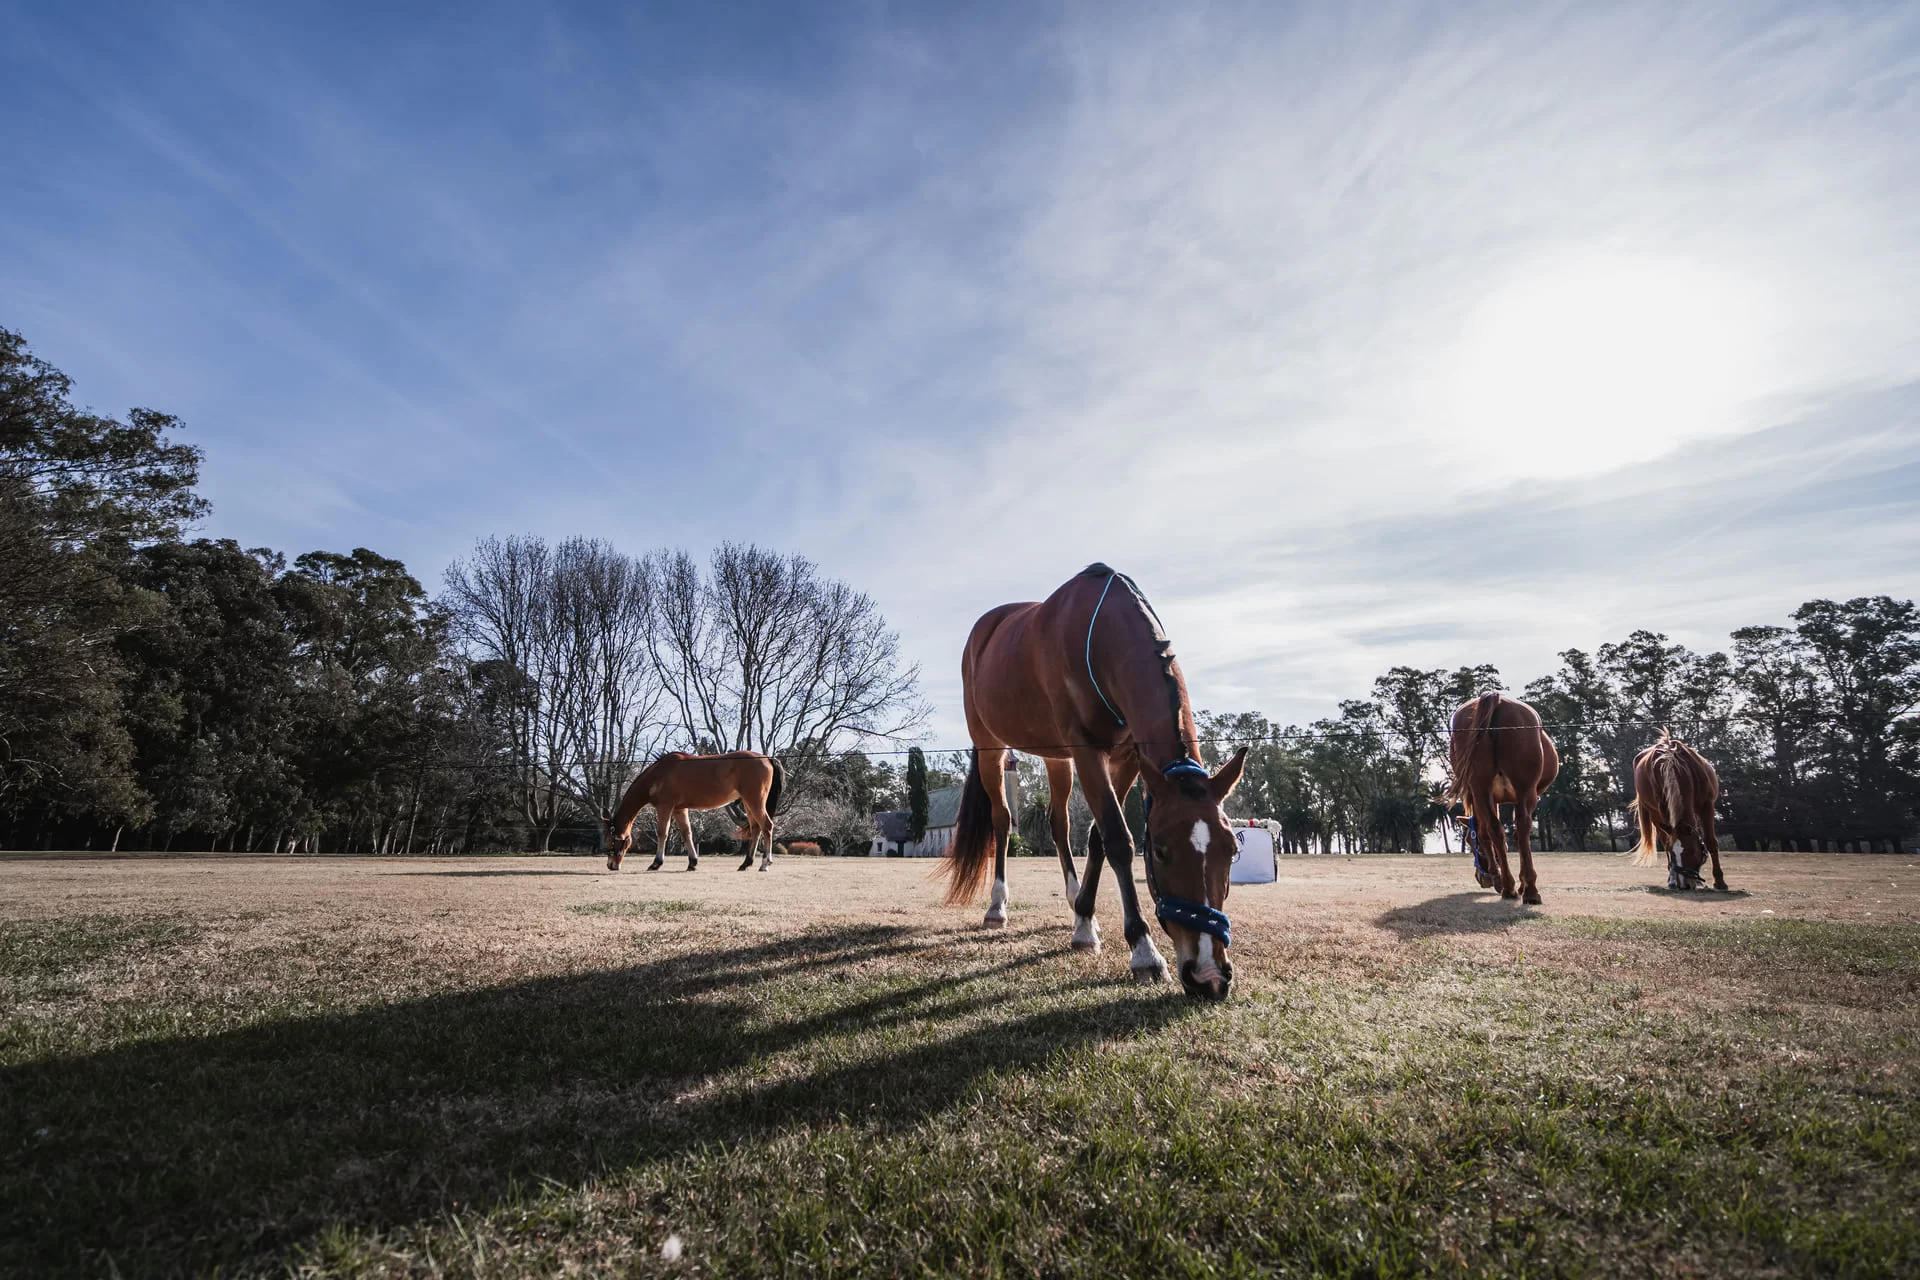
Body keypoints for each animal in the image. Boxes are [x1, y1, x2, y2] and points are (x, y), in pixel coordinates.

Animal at [604, 751, 786, 873]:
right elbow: (687, 833)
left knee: (767, 826)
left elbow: (662, 833)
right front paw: (692, 862)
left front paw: (656, 863)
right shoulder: (679, 809)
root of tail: (767, 758)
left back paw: (765, 863)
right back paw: (746, 863)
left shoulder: (665, 807)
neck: (659, 774)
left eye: (610, 841)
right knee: (756, 828)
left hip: (755, 802)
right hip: (748, 803)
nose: (611, 865)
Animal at [943, 564, 1249, 999]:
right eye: (1161, 852)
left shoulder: (1126, 759)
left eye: (1232, 851)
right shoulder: (1088, 751)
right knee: (1002, 820)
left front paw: (1085, 923)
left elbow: (1097, 837)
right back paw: (997, 906)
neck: (1101, 637)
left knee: (1058, 822)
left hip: (1056, 757)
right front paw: (1144, 951)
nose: (1210, 976)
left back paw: (1074, 902)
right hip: (991, 746)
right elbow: (1118, 838)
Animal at [1447, 692, 1559, 904]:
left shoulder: (1485, 796)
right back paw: (1528, 890)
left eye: (1470, 842)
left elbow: (1494, 834)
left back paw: (1509, 887)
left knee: (1494, 829)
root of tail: (1495, 699)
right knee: (1522, 828)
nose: (1482, 879)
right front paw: (1522, 883)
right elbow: (1516, 836)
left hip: (1481, 787)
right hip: (1526, 791)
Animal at [1630, 730, 1727, 891]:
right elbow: (1667, 842)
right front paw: (1672, 878)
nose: (1684, 885)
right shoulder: (1662, 809)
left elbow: (1711, 841)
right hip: (1654, 813)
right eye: (1672, 853)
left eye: (1692, 851)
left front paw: (1720, 881)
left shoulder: (1707, 805)